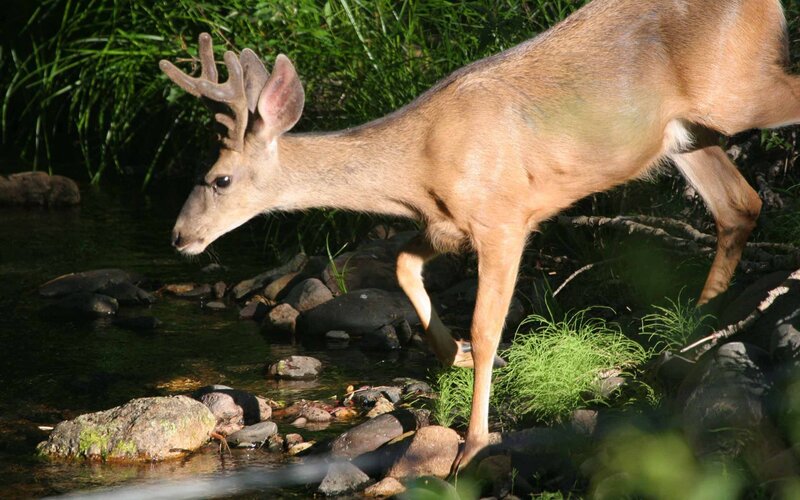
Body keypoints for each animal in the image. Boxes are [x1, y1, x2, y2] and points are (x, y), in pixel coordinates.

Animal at [160, 0, 800, 472]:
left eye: (219, 178)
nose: (178, 237)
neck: (418, 163)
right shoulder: (448, 224)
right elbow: (402, 265)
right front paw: (452, 354)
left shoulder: (505, 217)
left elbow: (489, 328)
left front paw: (471, 443)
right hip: (686, 131)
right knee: (739, 205)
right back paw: (697, 328)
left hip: (737, 86)